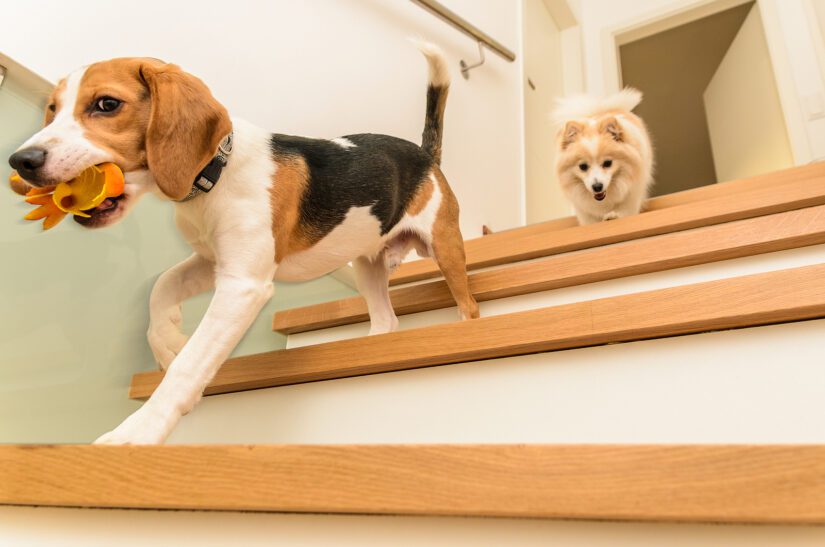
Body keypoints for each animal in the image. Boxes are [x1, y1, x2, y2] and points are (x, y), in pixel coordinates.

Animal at [8, 42, 476, 446]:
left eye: (106, 104)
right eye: (52, 109)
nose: (21, 161)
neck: (216, 171)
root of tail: (425, 155)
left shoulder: (242, 285)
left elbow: (189, 366)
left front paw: (138, 432)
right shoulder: (210, 259)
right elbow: (161, 287)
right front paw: (168, 341)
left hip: (445, 246)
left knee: (467, 305)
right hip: (367, 265)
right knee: (386, 320)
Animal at [552, 89, 652, 226]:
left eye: (608, 163)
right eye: (583, 166)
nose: (597, 186)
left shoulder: (631, 194)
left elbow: (625, 210)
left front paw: (614, 215)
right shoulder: (583, 209)